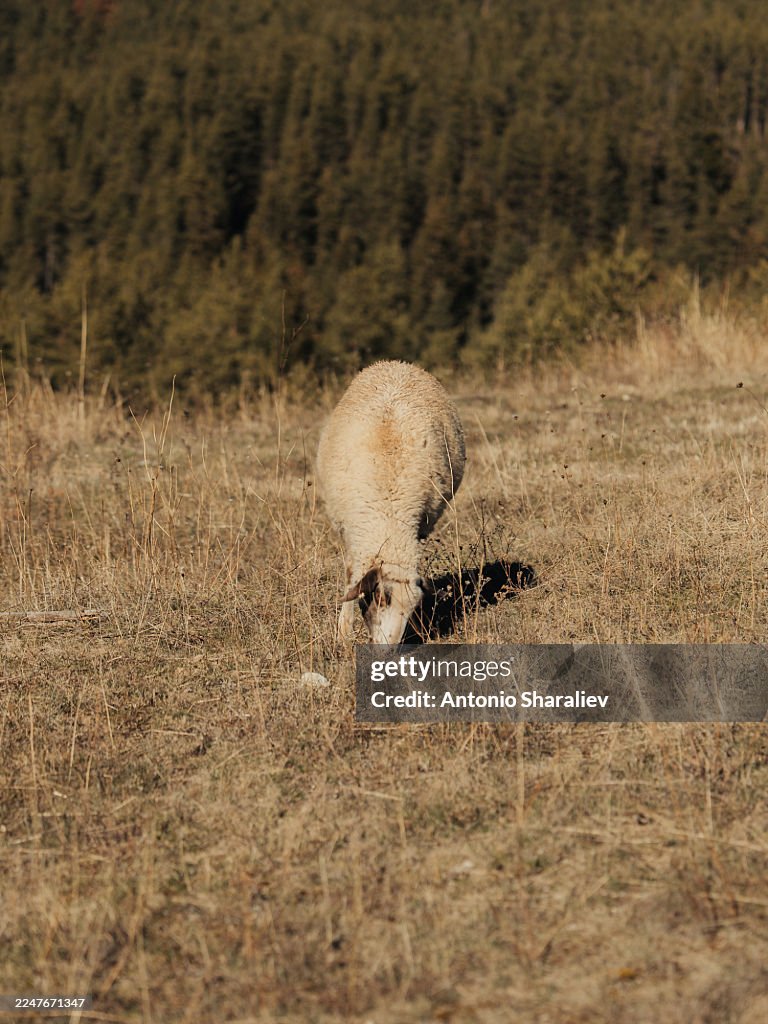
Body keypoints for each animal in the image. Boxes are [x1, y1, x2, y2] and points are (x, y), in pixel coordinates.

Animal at [316, 360, 465, 645]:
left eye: (411, 610)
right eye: (380, 597)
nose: (388, 650)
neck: (387, 512)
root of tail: (395, 364)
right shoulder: (350, 532)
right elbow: (350, 578)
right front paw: (343, 632)